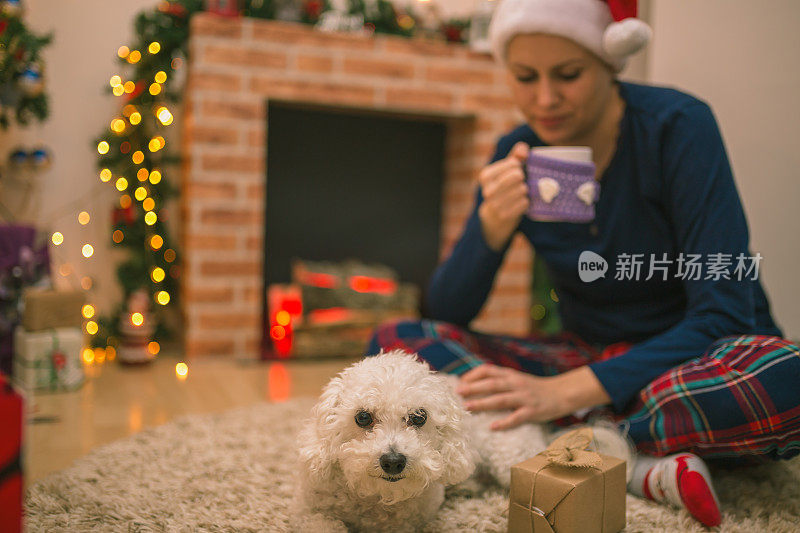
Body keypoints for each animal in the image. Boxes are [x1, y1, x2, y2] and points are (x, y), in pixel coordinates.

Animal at [292, 350, 552, 532]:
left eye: (419, 417)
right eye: (363, 417)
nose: (393, 462)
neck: (379, 500)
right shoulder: (311, 513)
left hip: (510, 456)